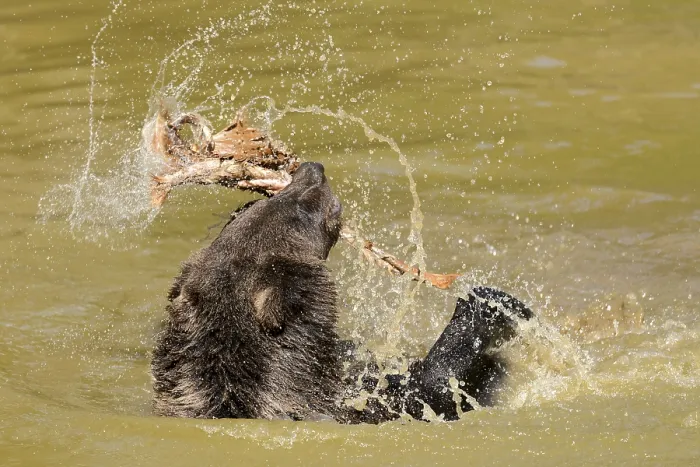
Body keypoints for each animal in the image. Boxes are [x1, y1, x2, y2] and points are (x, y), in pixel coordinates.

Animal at [151, 161, 532, 423]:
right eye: (300, 207)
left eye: (249, 207)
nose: (311, 169)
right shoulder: (360, 404)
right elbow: (434, 388)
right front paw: (491, 305)